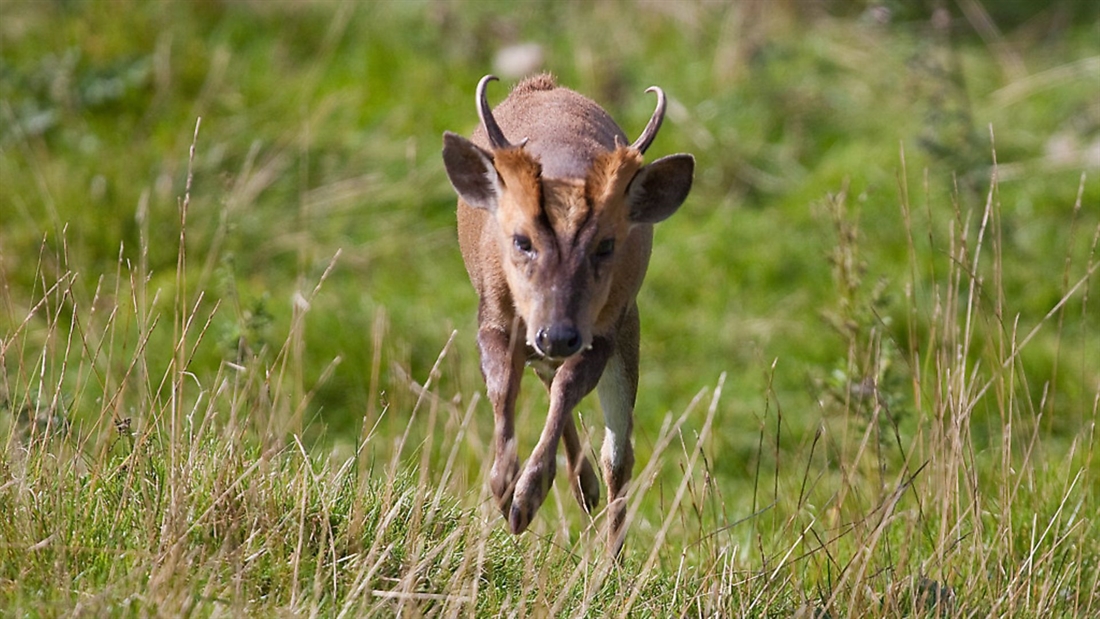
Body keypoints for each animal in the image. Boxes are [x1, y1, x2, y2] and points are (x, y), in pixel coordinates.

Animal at [440, 75, 690, 554]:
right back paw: (581, 487)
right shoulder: (493, 313)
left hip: (626, 328)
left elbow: (569, 389)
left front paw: (527, 496)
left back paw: (609, 550)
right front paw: (505, 487)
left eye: (606, 245)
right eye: (521, 241)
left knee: (618, 455)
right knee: (544, 374)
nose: (558, 334)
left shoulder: (606, 327)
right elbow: (503, 386)